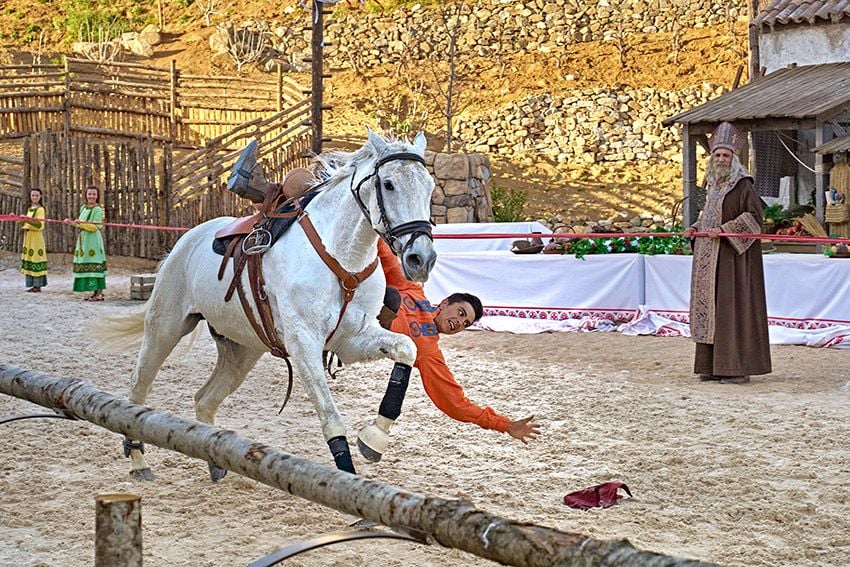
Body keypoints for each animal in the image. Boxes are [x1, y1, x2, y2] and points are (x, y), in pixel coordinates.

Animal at [96, 131, 434, 482]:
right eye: (389, 184)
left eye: (429, 187)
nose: (421, 258)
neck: (341, 256)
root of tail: (186, 241)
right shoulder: (303, 344)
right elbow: (330, 417)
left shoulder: (352, 339)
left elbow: (407, 350)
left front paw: (374, 439)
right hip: (165, 328)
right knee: (138, 389)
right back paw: (139, 462)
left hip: (241, 350)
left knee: (205, 399)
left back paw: (214, 461)